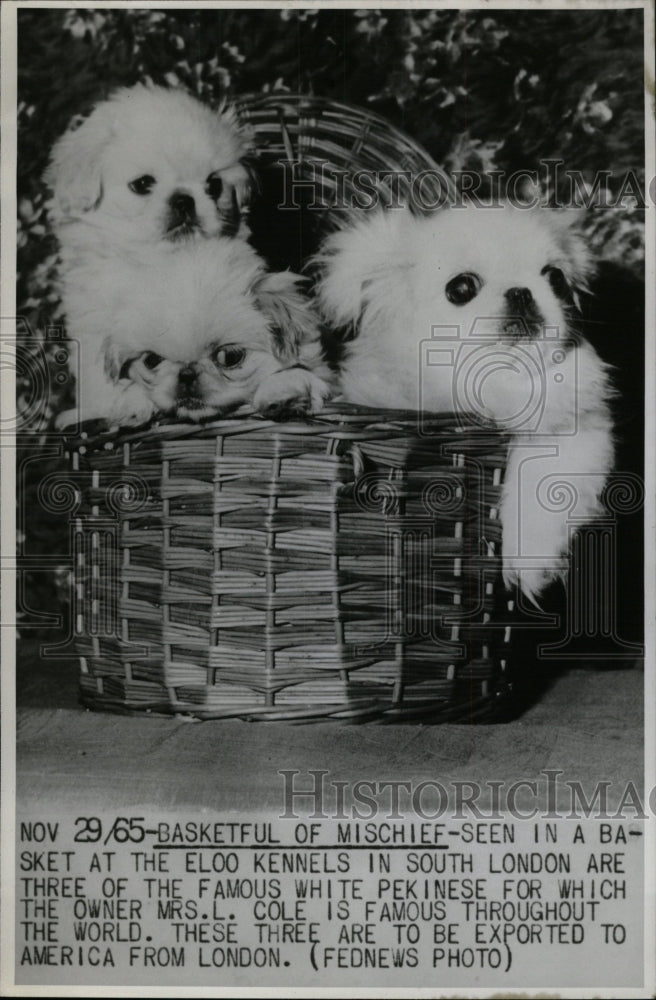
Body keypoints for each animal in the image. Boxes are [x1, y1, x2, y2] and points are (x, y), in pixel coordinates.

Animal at [45, 86, 330, 426]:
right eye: (143, 184)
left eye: (214, 185)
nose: (184, 199)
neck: (157, 260)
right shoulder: (94, 328)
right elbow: (104, 380)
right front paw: (120, 407)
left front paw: (283, 390)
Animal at [318, 199, 616, 596]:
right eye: (461, 288)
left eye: (556, 279)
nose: (521, 292)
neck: (491, 385)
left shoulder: (574, 431)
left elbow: (542, 484)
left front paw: (529, 561)